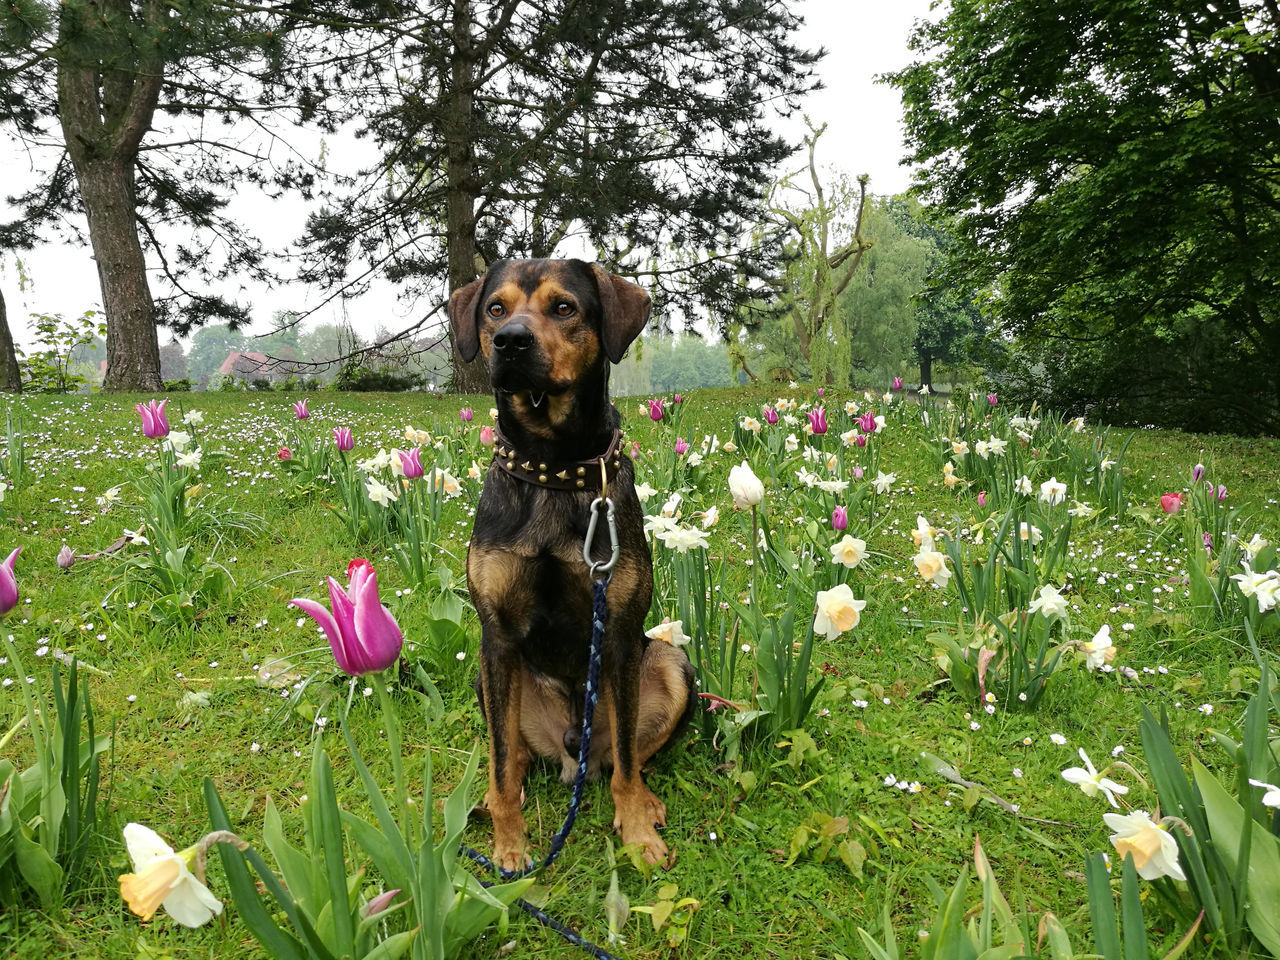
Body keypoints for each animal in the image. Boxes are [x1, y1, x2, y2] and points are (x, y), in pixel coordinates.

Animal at [448, 259, 691, 875]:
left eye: (564, 308)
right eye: (495, 309)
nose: (511, 342)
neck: (552, 466)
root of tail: (569, 751)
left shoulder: (622, 634)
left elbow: (627, 759)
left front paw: (637, 836)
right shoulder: (497, 636)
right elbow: (501, 761)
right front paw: (510, 850)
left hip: (672, 665)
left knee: (626, 758)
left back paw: (644, 801)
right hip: (489, 678)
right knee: (508, 755)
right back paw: (489, 799)